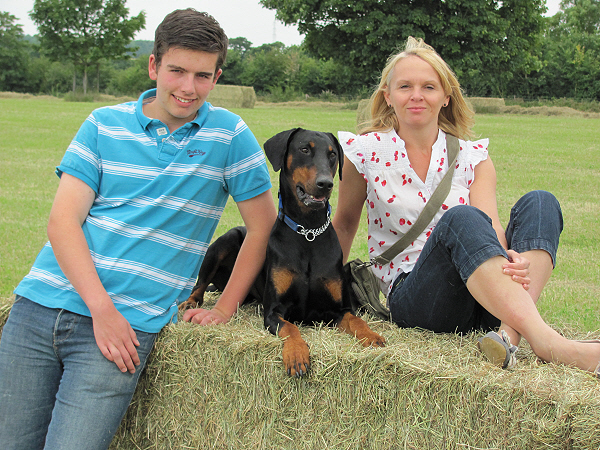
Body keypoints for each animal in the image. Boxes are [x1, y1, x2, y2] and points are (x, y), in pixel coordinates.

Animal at [180, 128, 385, 377]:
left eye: (333, 154)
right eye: (304, 149)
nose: (325, 183)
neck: (308, 232)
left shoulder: (337, 309)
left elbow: (356, 320)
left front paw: (372, 336)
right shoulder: (273, 311)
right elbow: (290, 328)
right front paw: (296, 354)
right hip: (225, 241)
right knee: (199, 285)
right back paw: (189, 302)